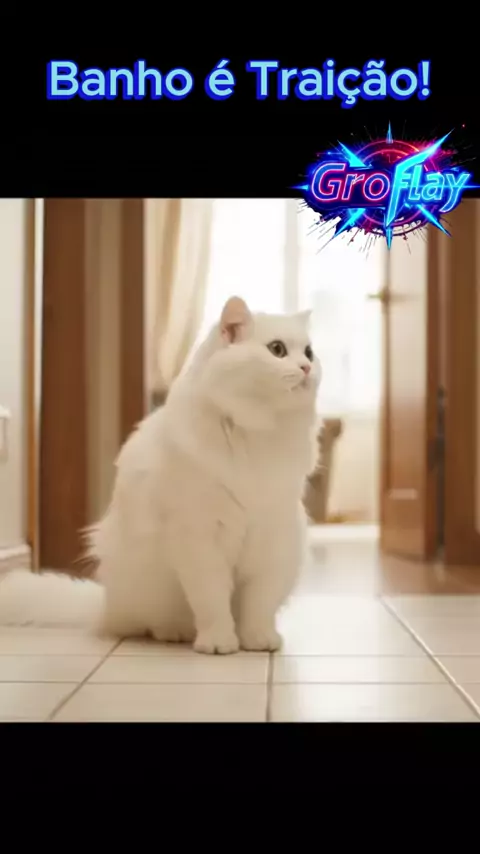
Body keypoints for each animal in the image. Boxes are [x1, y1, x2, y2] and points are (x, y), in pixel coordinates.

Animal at [0, 296, 321, 654]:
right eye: (277, 350)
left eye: (309, 352)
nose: (307, 368)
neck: (256, 434)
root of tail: (106, 607)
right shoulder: (198, 536)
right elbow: (212, 601)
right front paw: (219, 643)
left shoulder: (273, 536)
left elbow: (259, 604)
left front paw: (258, 640)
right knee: (153, 624)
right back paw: (177, 633)